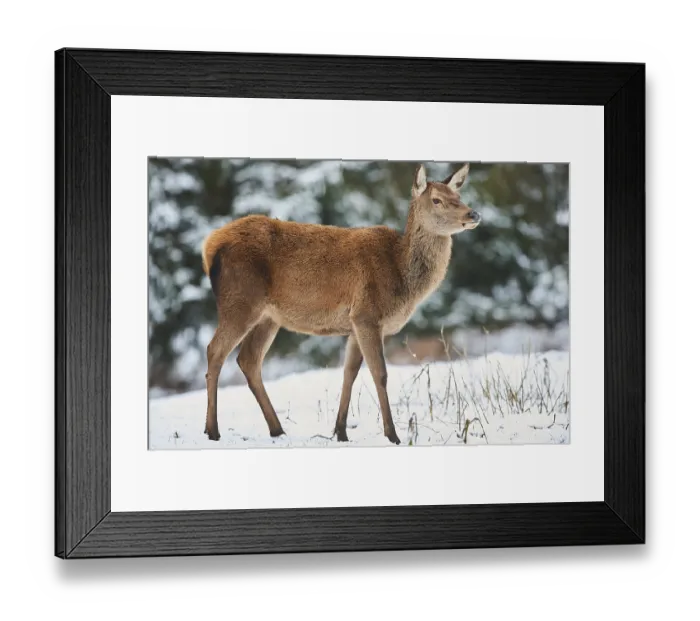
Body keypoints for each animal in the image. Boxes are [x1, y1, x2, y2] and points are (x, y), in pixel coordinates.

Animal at [200, 163, 481, 445]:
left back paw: (277, 429)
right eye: (437, 200)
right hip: (240, 301)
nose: (473, 213)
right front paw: (392, 435)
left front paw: (341, 431)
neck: (401, 275)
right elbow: (380, 374)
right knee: (215, 350)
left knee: (248, 359)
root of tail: (209, 247)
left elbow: (349, 373)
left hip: (269, 317)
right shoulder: (367, 314)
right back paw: (212, 430)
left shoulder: (354, 323)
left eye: (458, 195)